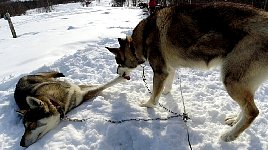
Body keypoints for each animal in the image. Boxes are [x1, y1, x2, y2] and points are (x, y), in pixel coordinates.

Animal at [105, 2, 268, 142]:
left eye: (118, 62)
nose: (117, 72)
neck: (141, 39)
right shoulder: (168, 69)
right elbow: (167, 83)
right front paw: (166, 92)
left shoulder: (160, 71)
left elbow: (154, 95)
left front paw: (147, 104)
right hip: (243, 82)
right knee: (246, 107)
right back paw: (234, 121)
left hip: (231, 79)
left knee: (252, 111)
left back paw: (229, 135)